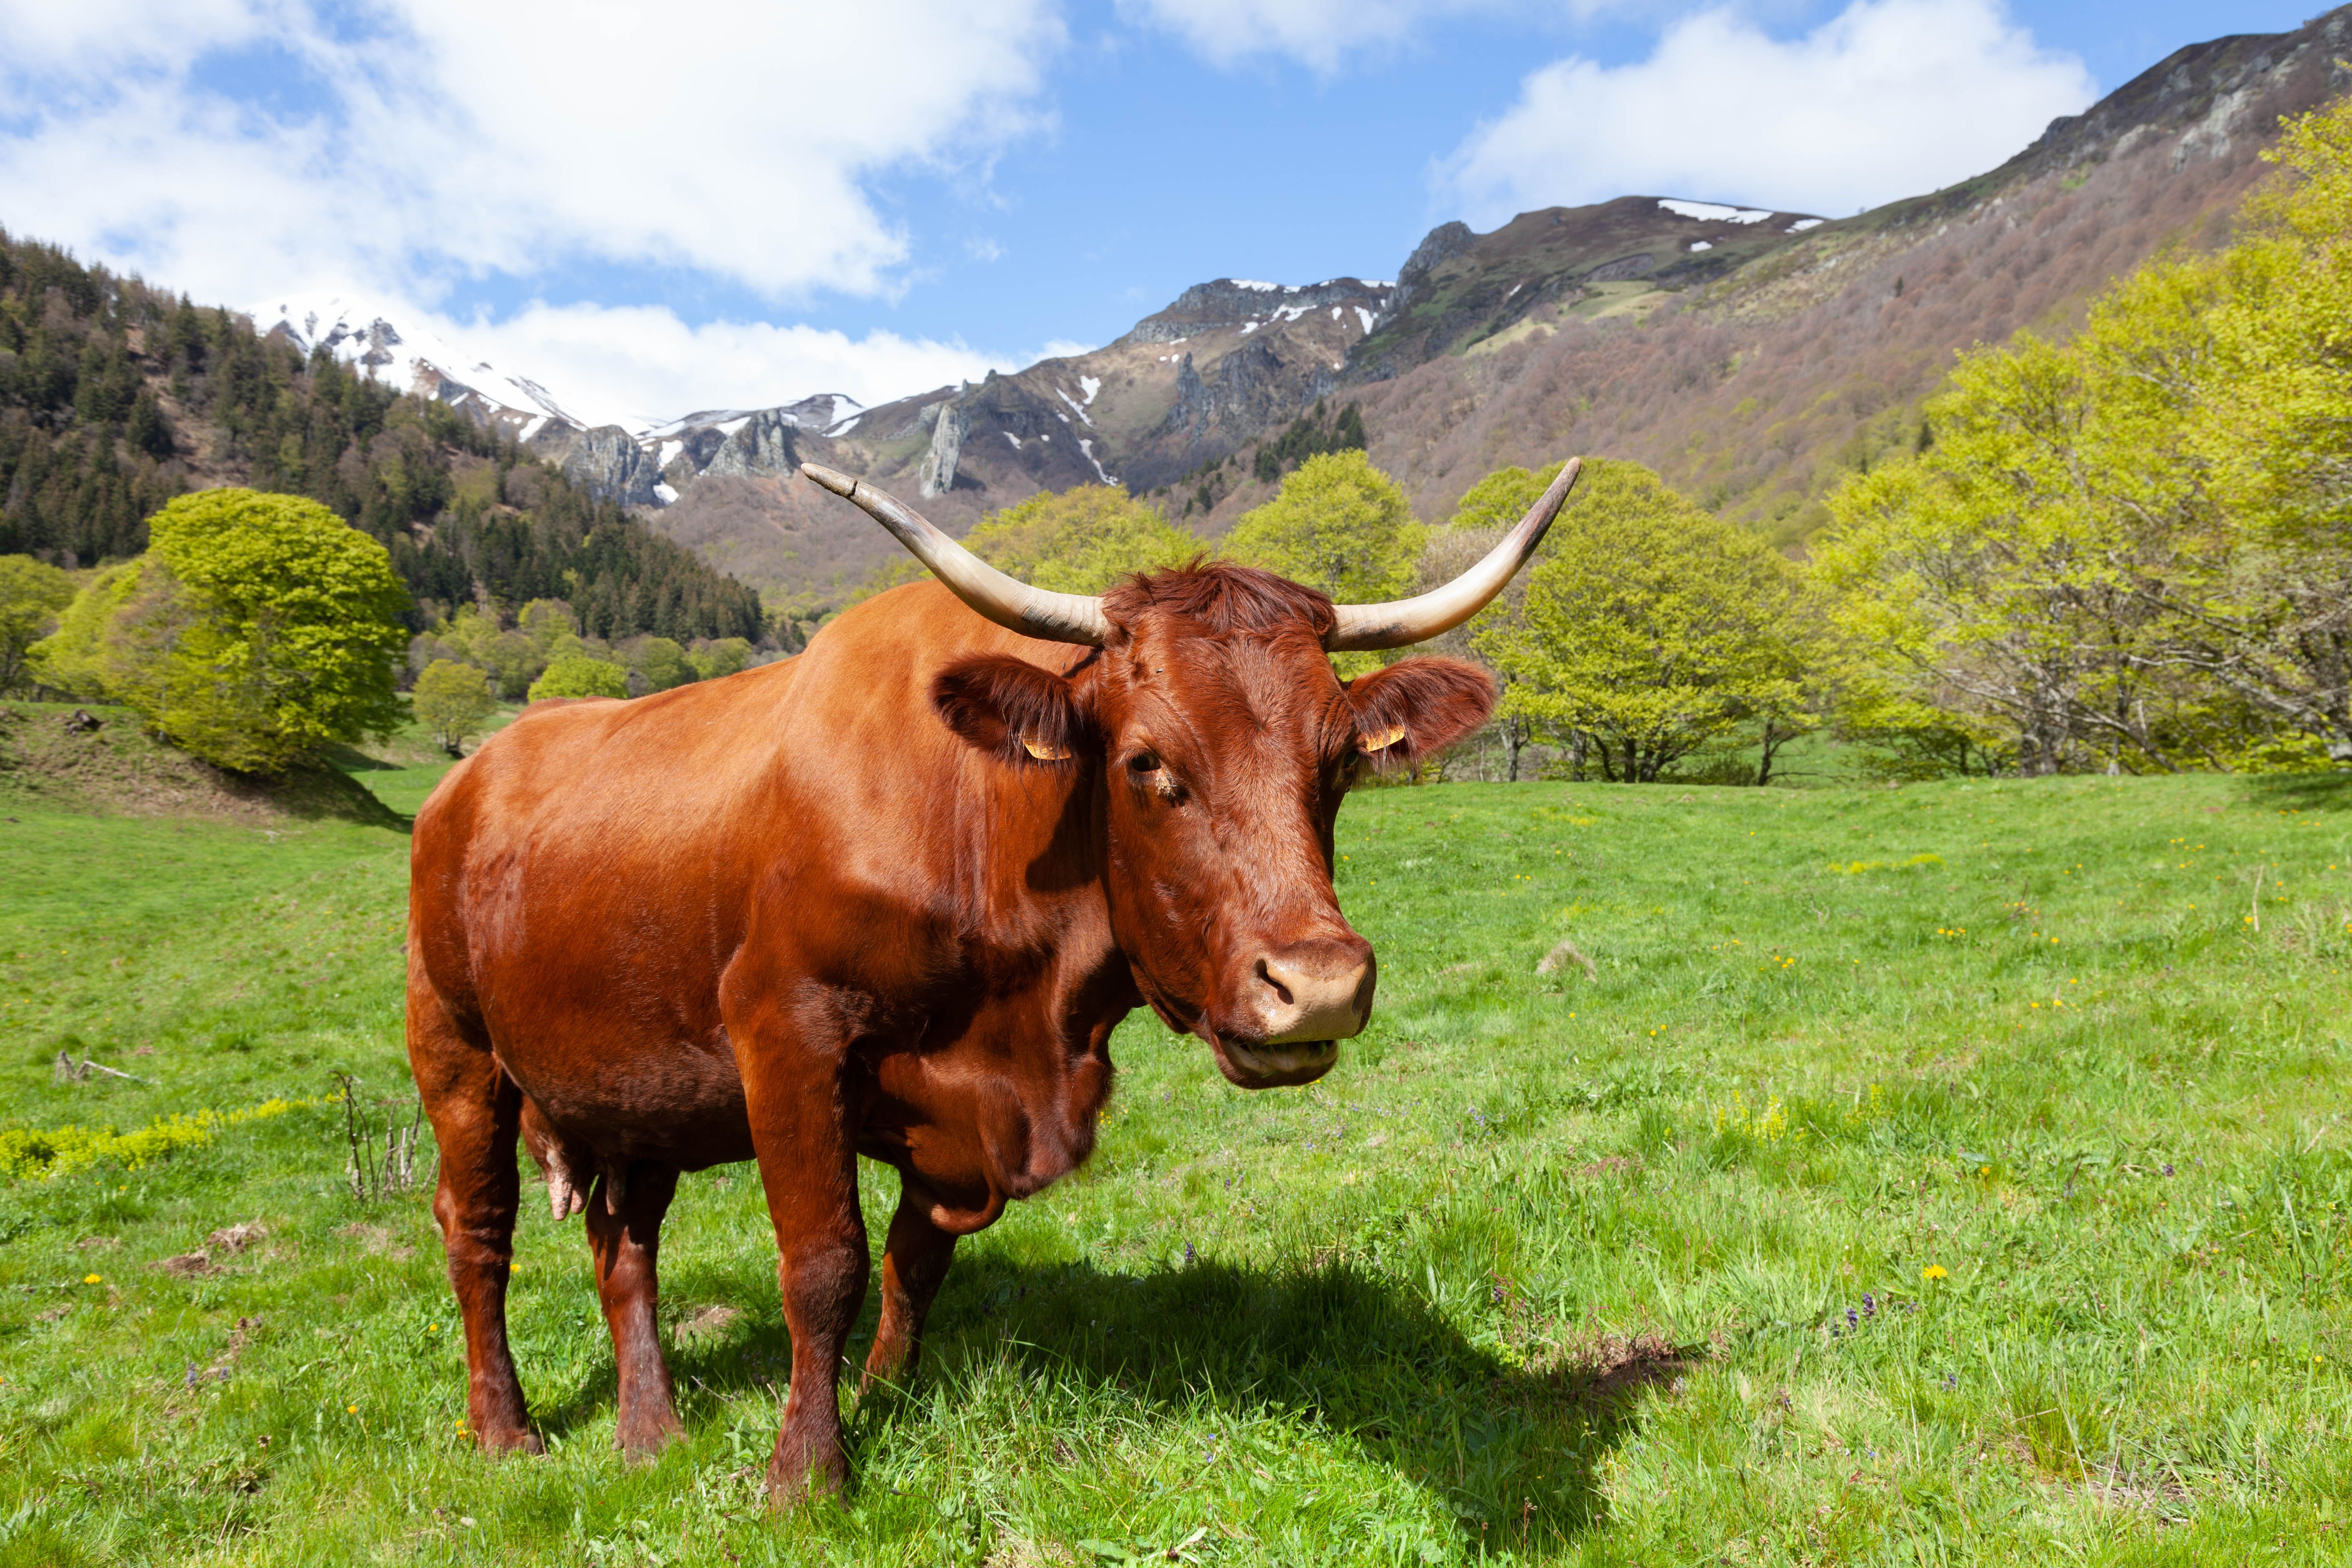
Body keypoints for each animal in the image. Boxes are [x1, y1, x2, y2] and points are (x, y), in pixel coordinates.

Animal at [406, 455, 1583, 1499]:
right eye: (1147, 762)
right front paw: (807, 1473)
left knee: (625, 1241)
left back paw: (649, 1432)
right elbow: (823, 1262)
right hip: (456, 1049)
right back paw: (506, 1431)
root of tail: (474, 770)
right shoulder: (786, 1033)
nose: (1320, 982)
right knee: (478, 1234)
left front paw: (882, 1397)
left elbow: (912, 1259)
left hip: (633, 1087)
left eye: (1338, 762)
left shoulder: (958, 1116)